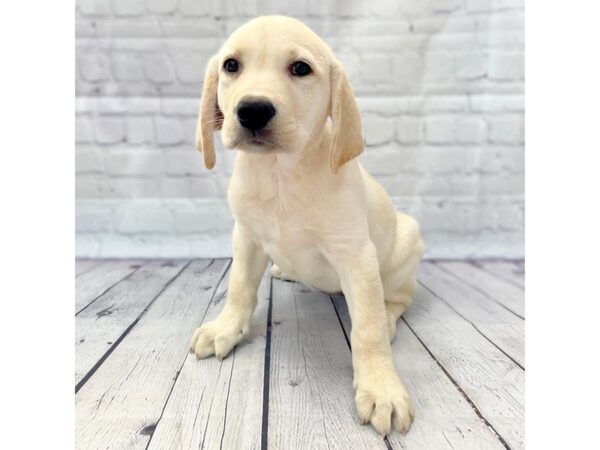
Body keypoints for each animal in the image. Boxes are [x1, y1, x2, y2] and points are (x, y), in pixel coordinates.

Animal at [190, 15, 424, 434]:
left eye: (300, 69)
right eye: (231, 66)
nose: (252, 111)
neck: (280, 174)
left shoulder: (356, 256)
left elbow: (367, 329)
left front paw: (381, 386)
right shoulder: (246, 237)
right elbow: (239, 289)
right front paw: (225, 328)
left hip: (407, 243)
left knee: (397, 299)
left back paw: (390, 316)